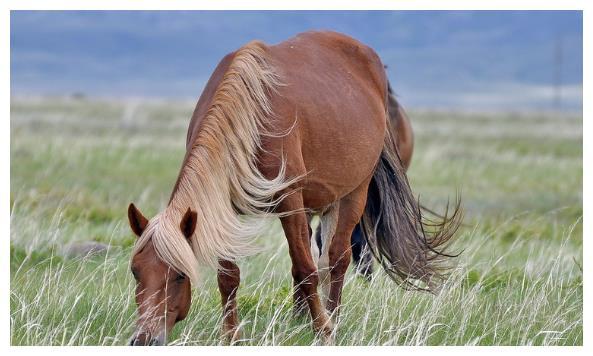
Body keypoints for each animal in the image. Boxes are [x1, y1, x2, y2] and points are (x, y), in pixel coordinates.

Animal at [125, 29, 460, 346]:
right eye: (135, 271)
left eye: (180, 275)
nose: (144, 339)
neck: (249, 120)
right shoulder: (223, 209)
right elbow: (229, 276)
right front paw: (231, 336)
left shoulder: (290, 201)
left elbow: (307, 268)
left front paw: (324, 331)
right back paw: (299, 319)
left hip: (352, 194)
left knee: (335, 260)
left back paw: (331, 318)